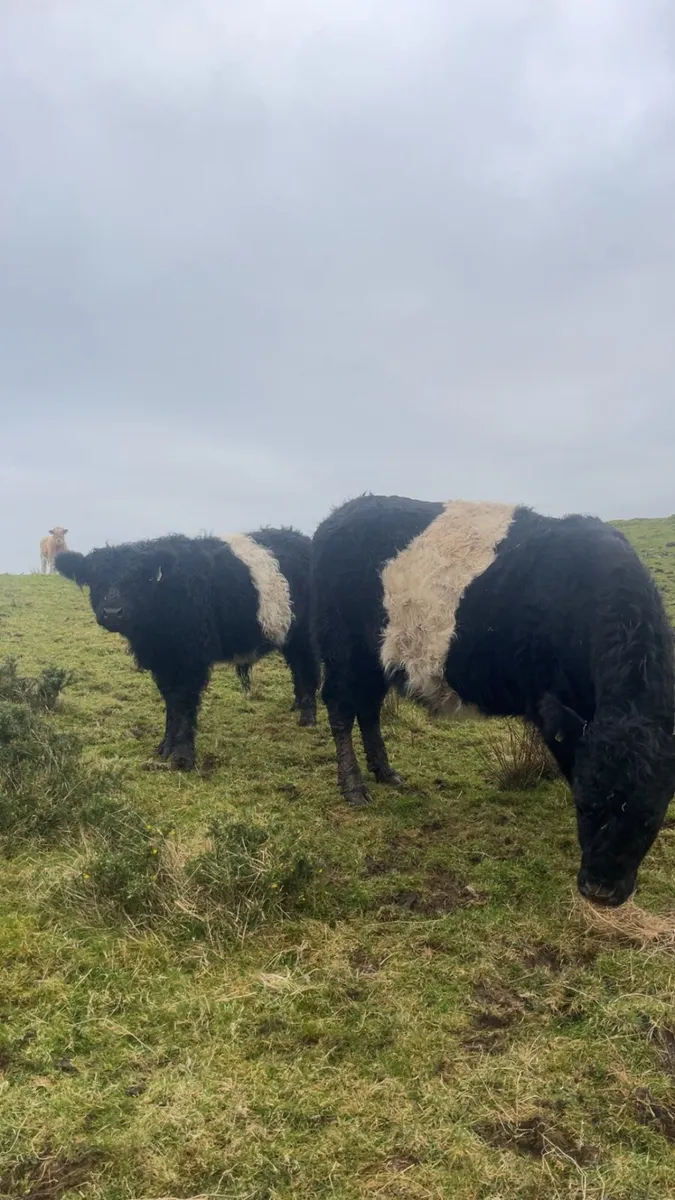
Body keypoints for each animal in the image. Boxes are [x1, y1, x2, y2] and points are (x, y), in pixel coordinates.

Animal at [55, 528, 319, 770]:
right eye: (94, 580)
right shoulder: (163, 662)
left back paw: (308, 716)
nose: (112, 612)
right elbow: (171, 703)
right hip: (289, 635)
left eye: (136, 580)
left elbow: (184, 704)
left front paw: (182, 757)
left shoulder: (191, 660)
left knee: (308, 668)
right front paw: (165, 747)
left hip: (305, 634)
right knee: (297, 668)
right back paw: (297, 705)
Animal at [311, 494, 675, 907]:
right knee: (341, 708)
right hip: (342, 650)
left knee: (369, 710)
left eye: (651, 817)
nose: (600, 890)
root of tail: (342, 513)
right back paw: (354, 787)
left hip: (376, 659)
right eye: (584, 807)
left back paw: (386, 773)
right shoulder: (557, 711)